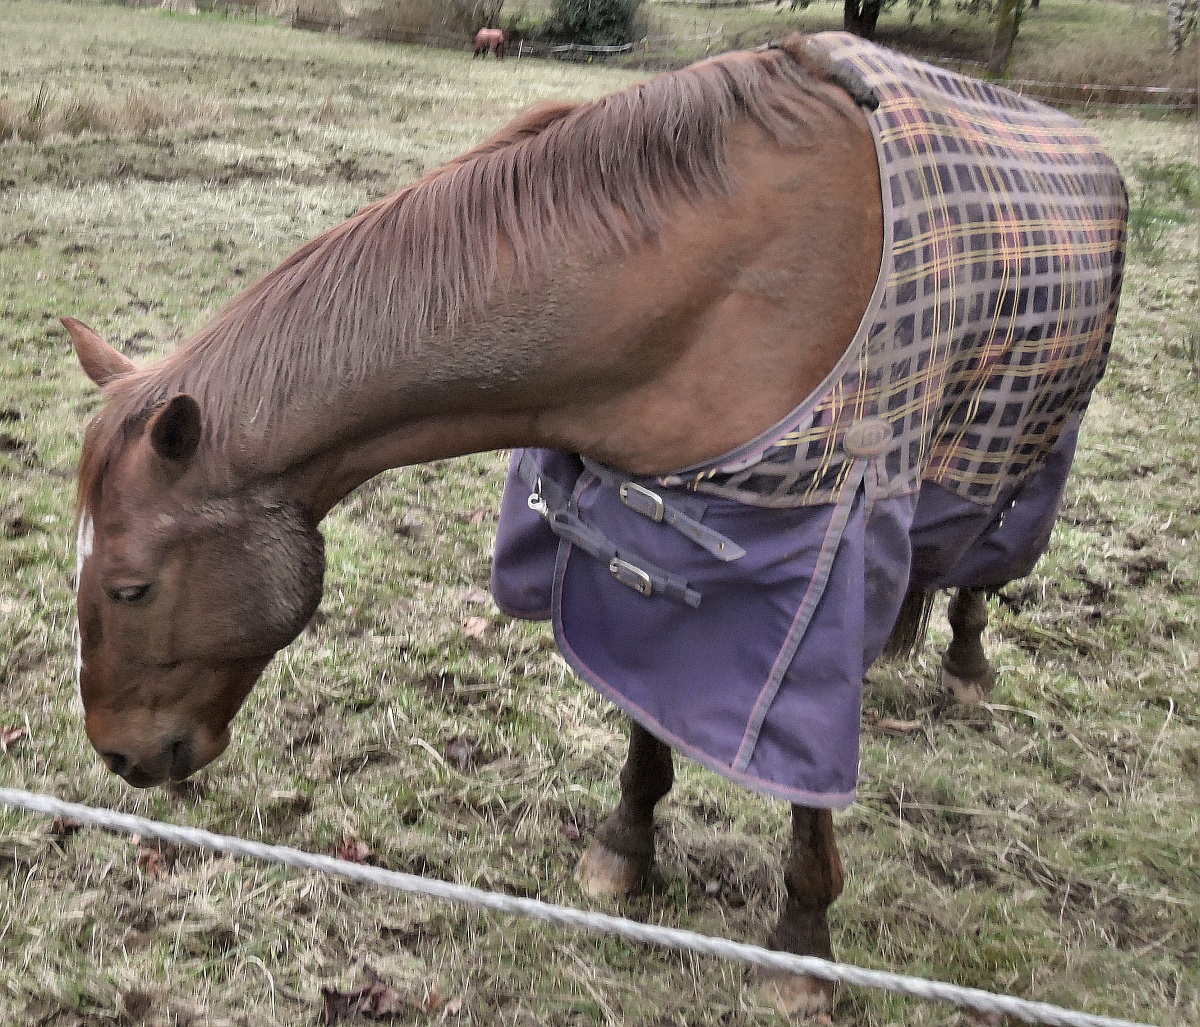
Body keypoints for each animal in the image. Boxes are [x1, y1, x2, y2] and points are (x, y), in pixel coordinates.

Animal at [70, 32, 1128, 1017]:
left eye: (131, 586)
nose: (118, 753)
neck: (707, 287)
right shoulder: (646, 535)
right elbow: (646, 711)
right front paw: (626, 849)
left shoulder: (823, 564)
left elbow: (805, 772)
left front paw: (802, 943)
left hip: (1035, 446)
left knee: (986, 566)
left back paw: (968, 663)